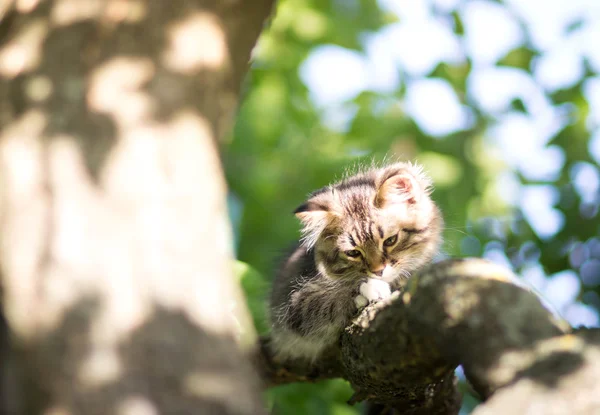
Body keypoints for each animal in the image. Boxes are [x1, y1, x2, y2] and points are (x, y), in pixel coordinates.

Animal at [270, 162, 442, 364]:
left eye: (390, 240)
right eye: (353, 253)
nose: (378, 271)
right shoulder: (293, 306)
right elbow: (328, 299)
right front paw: (367, 289)